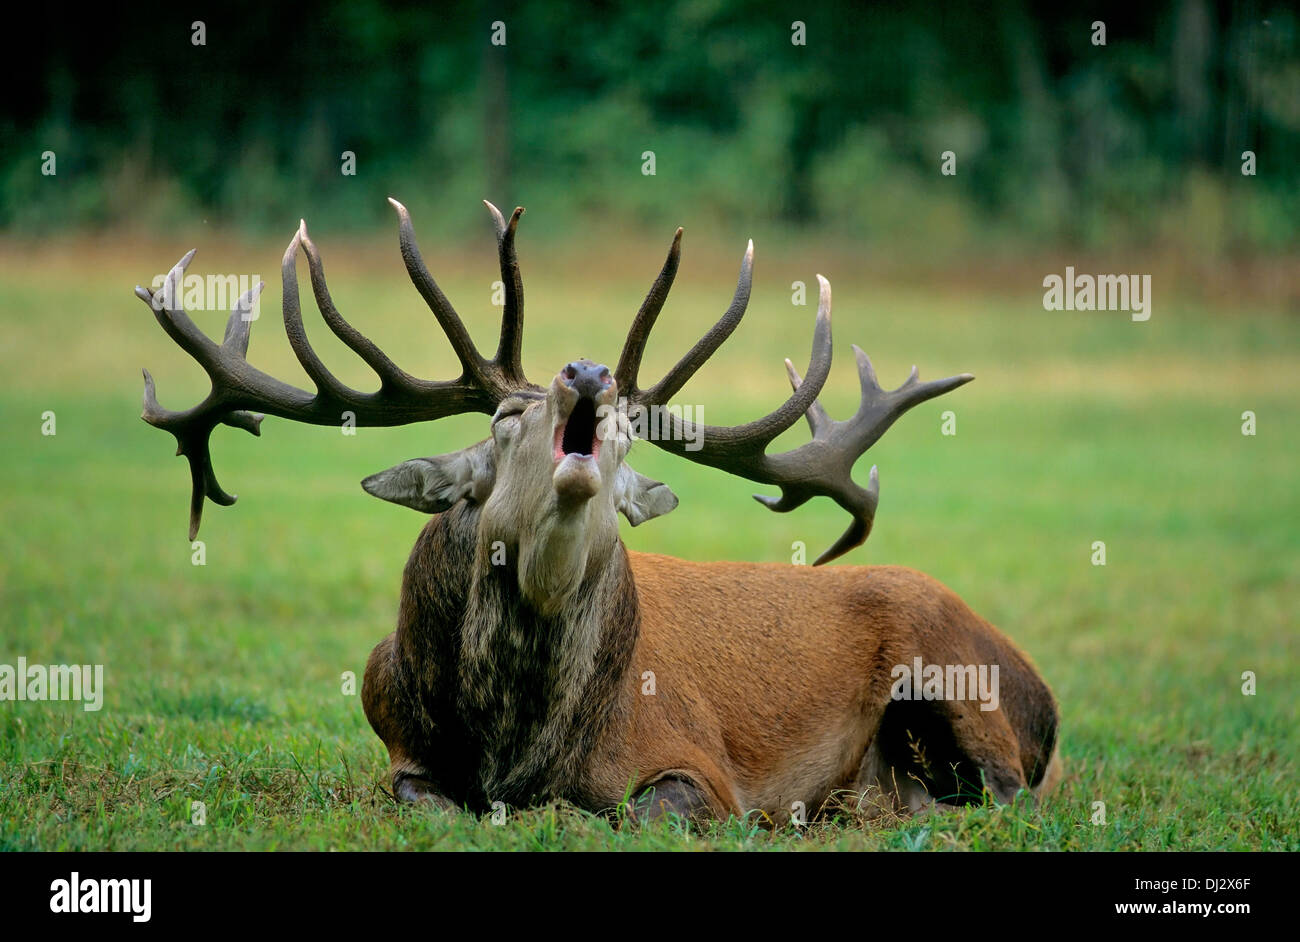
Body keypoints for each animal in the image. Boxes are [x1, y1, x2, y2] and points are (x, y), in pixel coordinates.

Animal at [137, 198, 1060, 821]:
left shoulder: (698, 766)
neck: (516, 750)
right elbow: (420, 797)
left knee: (1007, 794)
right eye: (505, 419)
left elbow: (638, 811)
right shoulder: (400, 748)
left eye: (623, 439)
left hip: (956, 681)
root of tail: (1044, 697)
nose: (588, 372)